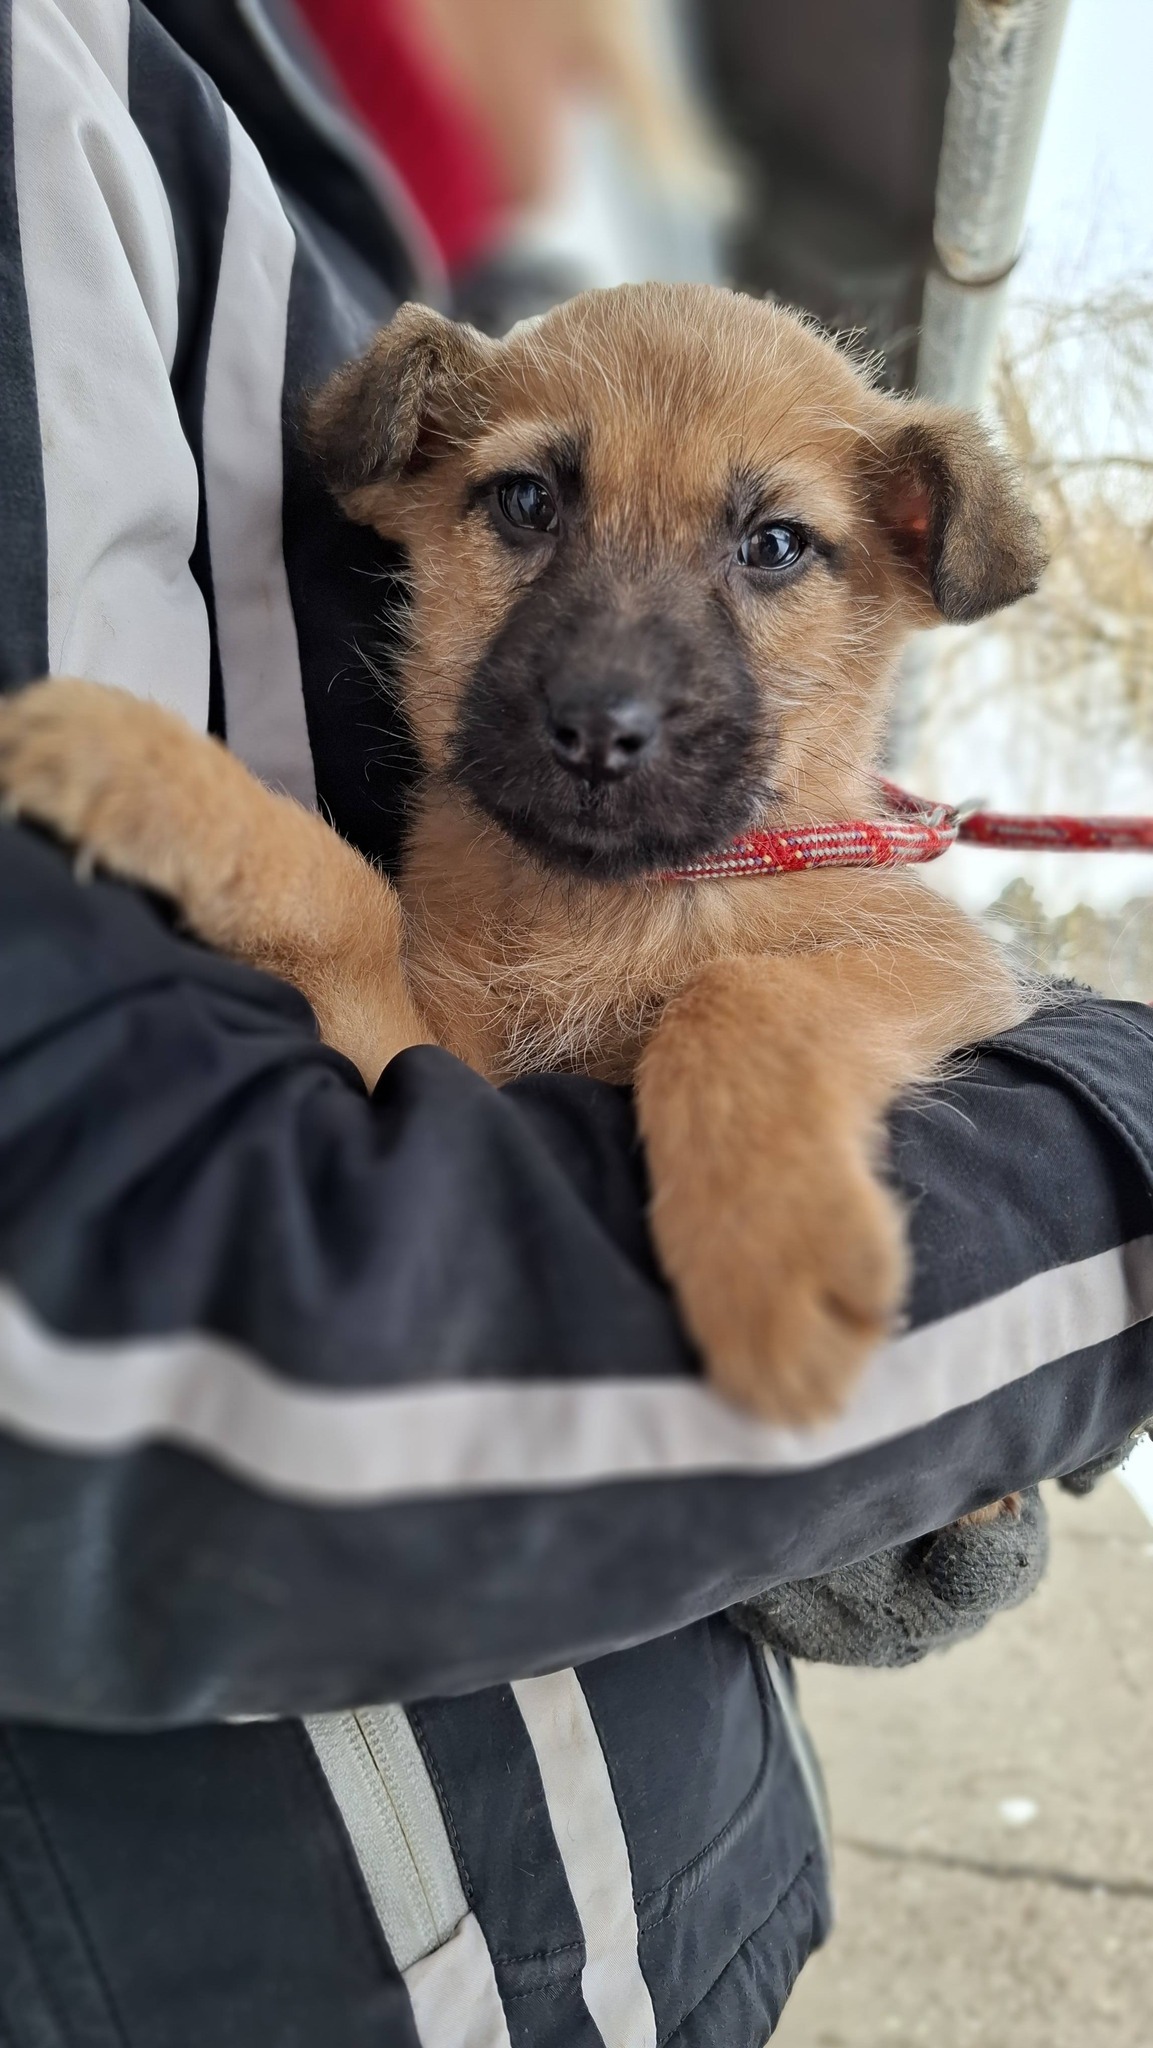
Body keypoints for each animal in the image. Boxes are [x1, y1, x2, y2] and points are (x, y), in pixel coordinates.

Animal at [0, 284, 1045, 1423]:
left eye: (773, 545)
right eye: (527, 501)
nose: (596, 729)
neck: (606, 903)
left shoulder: (951, 958)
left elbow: (741, 989)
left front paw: (770, 1246)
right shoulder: (422, 1065)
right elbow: (350, 904)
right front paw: (141, 765)